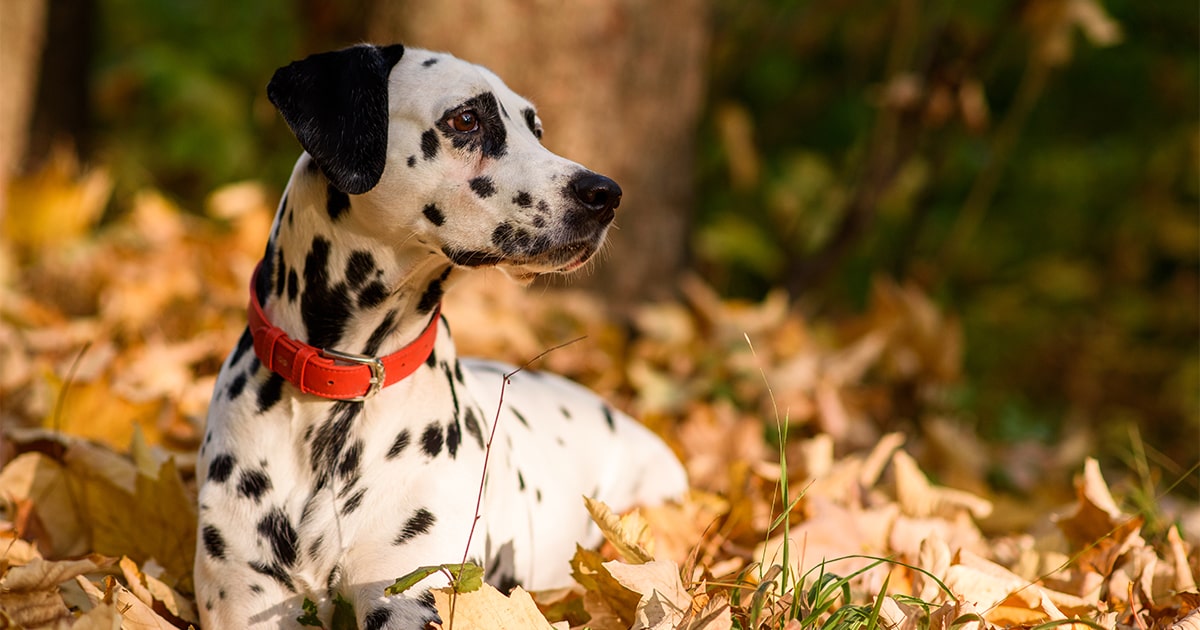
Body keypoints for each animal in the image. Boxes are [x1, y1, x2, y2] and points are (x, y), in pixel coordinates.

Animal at [192, 41, 691, 624]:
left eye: (536, 129)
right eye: (466, 119)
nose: (605, 194)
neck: (338, 391)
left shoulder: (412, 588)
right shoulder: (245, 595)